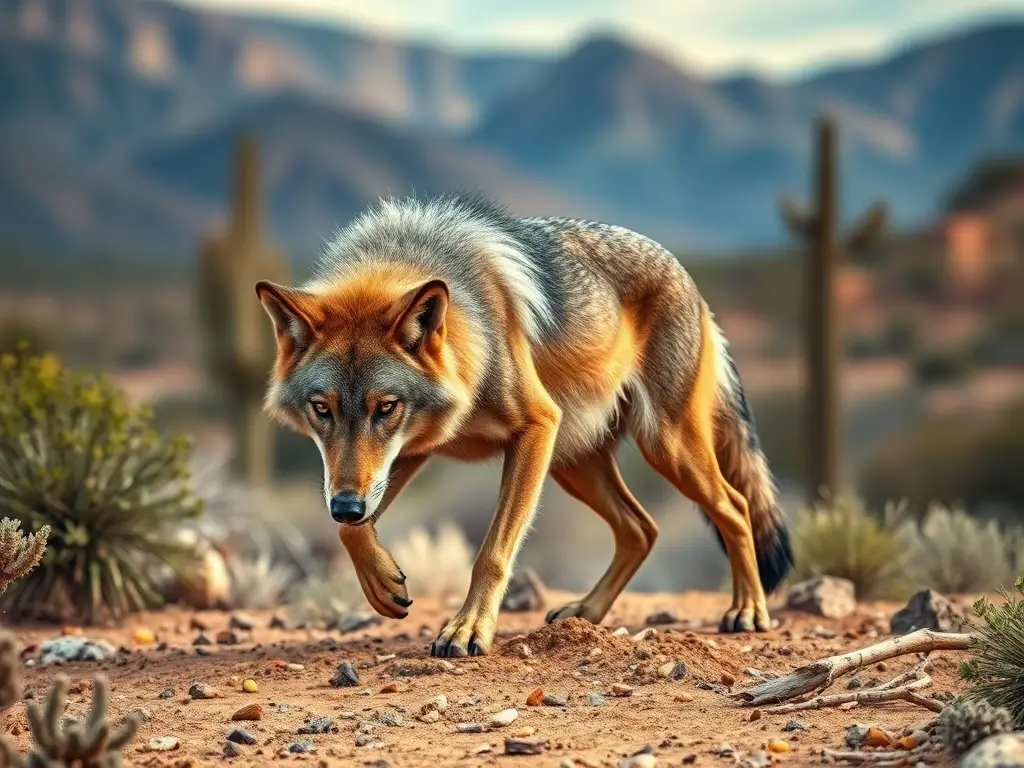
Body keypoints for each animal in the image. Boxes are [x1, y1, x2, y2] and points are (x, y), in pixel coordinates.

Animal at [256, 194, 793, 657]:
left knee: (736, 506)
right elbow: (352, 533)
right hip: (574, 464)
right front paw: (384, 583)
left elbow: (492, 552)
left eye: (386, 407)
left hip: (661, 447)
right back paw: (587, 612)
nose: (345, 505)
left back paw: (748, 611)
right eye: (321, 409)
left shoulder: (535, 426)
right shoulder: (413, 450)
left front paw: (468, 629)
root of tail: (689, 280)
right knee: (643, 528)